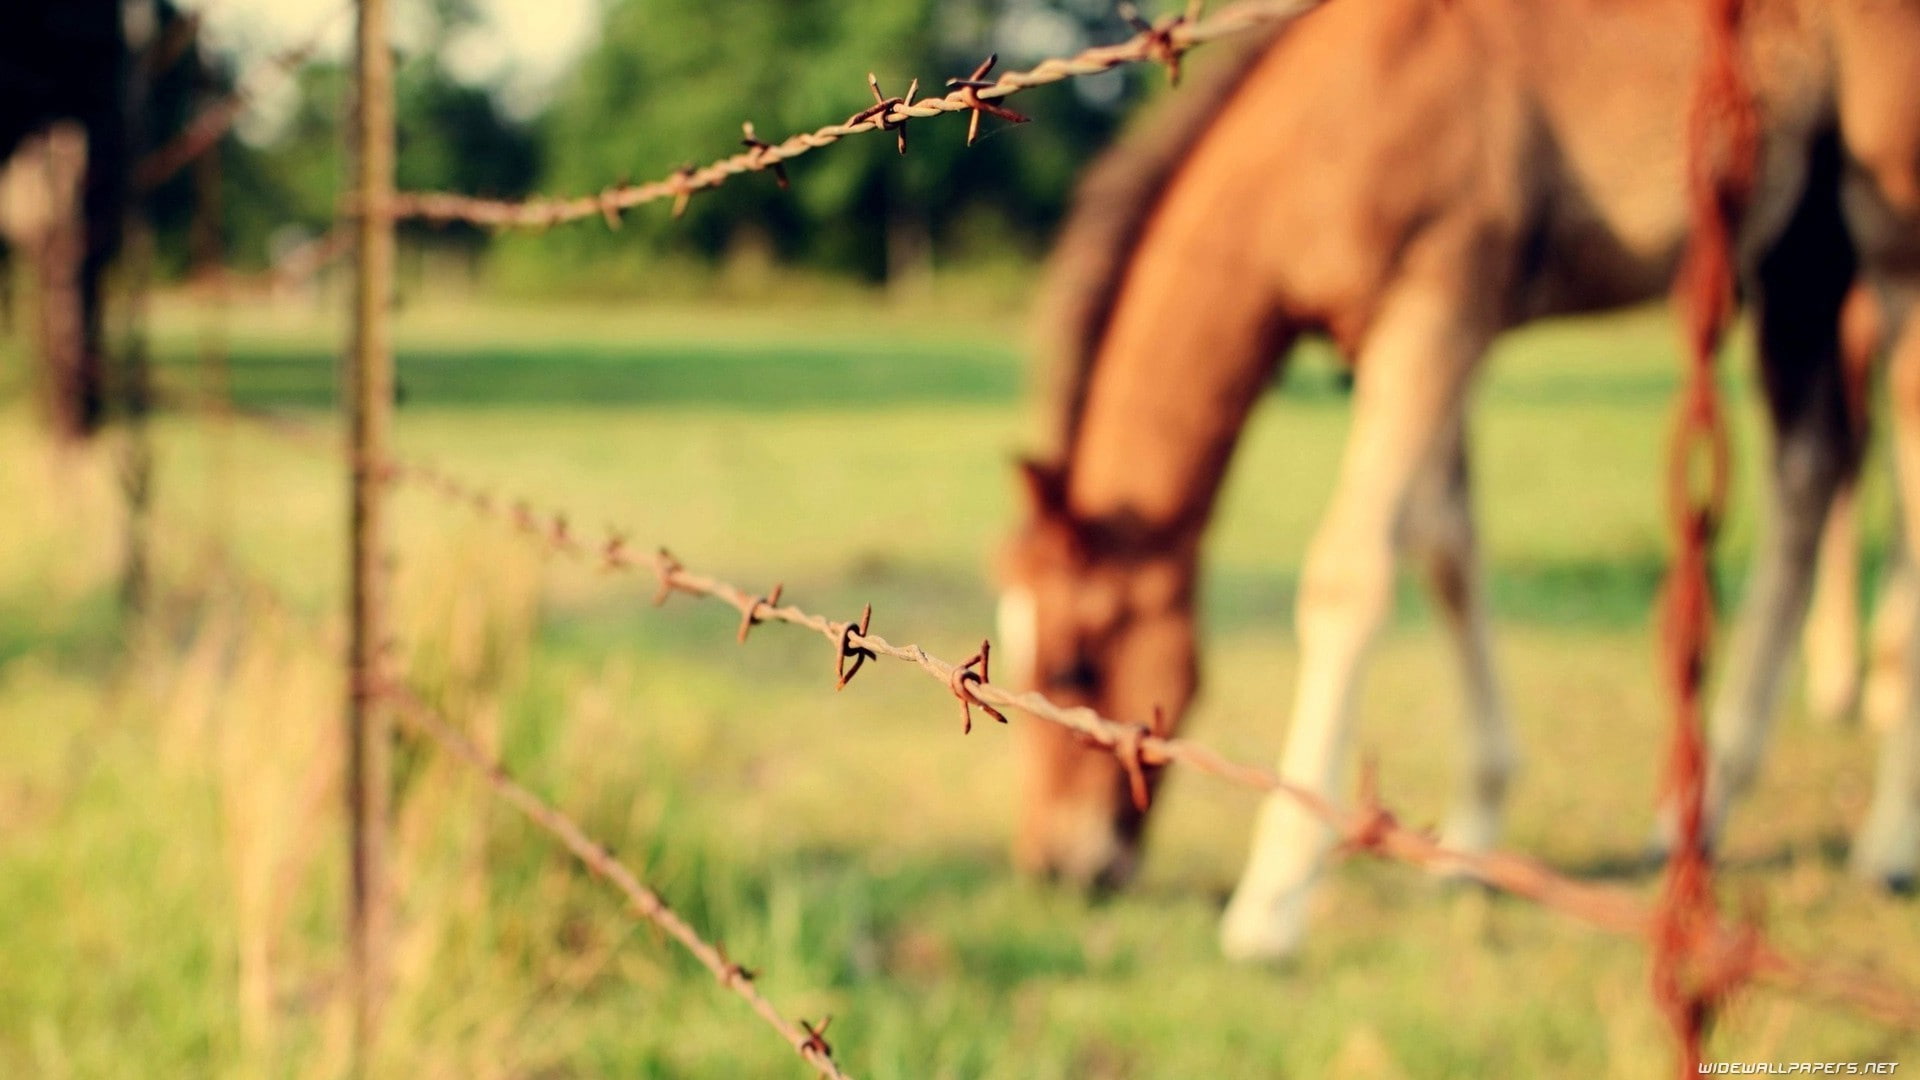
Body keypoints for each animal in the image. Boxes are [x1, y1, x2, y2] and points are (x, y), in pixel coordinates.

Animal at [995, 0, 1920, 962]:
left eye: (1076, 663)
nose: (1053, 864)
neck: (1336, 121)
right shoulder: (1395, 343)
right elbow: (1445, 547)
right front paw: (1470, 839)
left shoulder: (1437, 309)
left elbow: (1351, 575)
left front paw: (1272, 900)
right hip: (1799, 249)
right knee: (1809, 470)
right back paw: (1695, 817)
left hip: (1888, 229)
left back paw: (1888, 843)